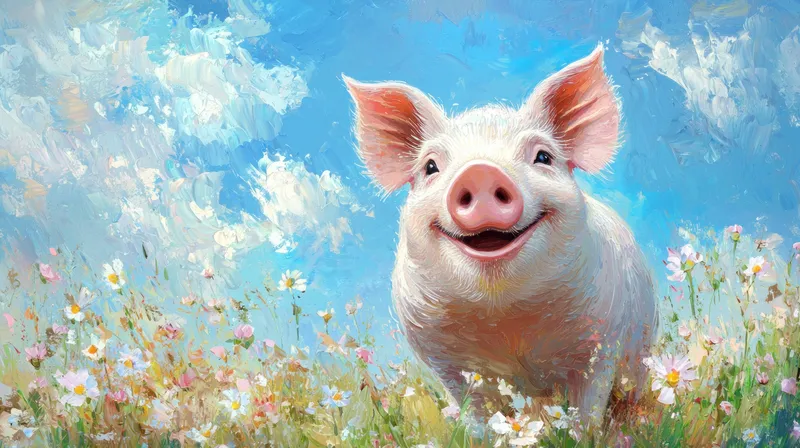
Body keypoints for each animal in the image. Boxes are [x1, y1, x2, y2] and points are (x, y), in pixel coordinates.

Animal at [343, 44, 658, 424]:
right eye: (431, 166)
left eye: (543, 157)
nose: (480, 172)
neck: (504, 320)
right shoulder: (445, 363)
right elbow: (477, 415)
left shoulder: (601, 342)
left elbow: (586, 411)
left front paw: (579, 431)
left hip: (641, 344)